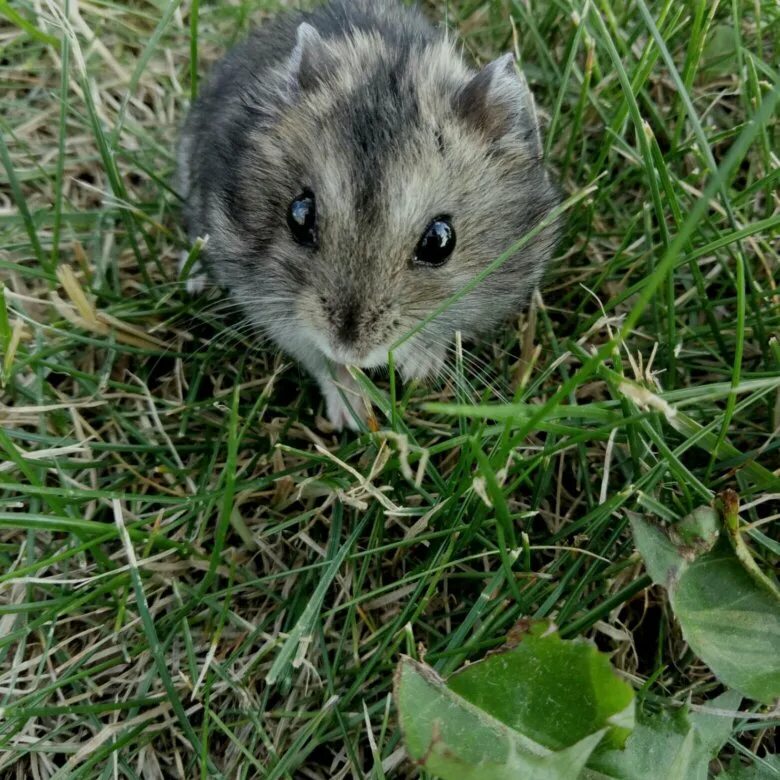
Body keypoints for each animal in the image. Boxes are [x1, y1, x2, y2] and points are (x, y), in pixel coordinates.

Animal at [178, 0, 556, 432]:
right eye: (299, 215)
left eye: (440, 241)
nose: (349, 348)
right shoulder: (268, 304)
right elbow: (320, 361)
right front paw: (354, 417)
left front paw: (417, 371)